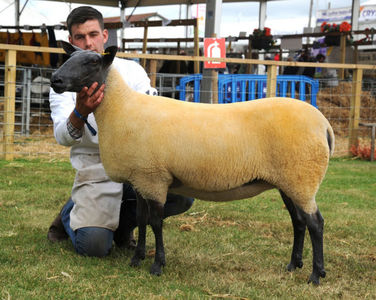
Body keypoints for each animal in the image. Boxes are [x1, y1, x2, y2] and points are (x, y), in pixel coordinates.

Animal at [50, 41, 334, 284]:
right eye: (69, 58)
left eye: (92, 62)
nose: (55, 80)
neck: (121, 108)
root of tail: (324, 125)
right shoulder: (140, 178)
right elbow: (141, 220)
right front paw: (136, 259)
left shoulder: (154, 177)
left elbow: (156, 222)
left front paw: (157, 265)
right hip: (291, 181)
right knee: (299, 222)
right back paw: (293, 265)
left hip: (302, 178)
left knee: (315, 223)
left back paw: (316, 274)